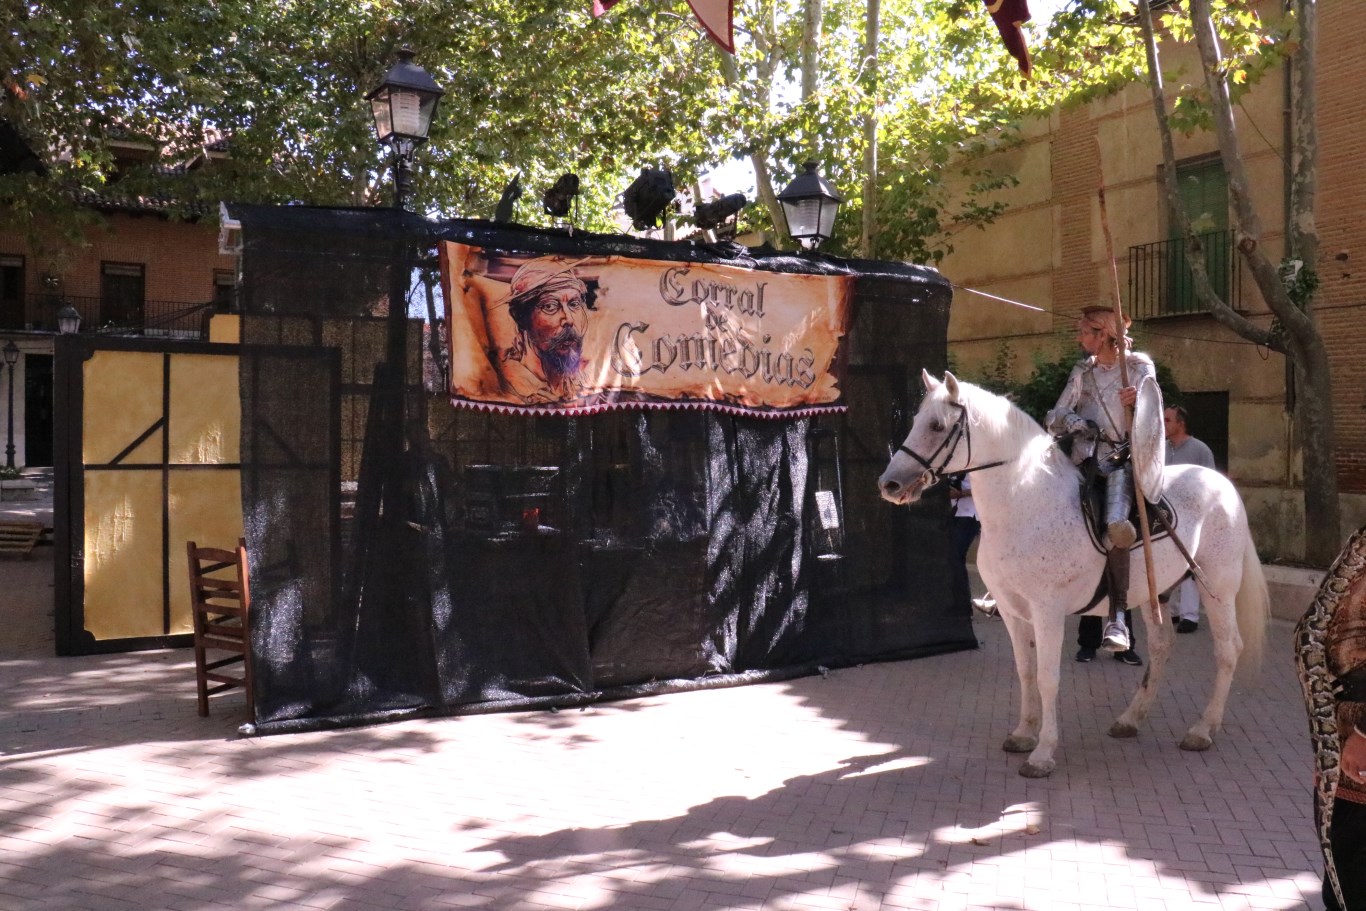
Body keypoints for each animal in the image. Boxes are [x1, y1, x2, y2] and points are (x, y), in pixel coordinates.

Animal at [874, 371, 1267, 775]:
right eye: (917, 421)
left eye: (937, 426)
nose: (889, 484)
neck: (1025, 504)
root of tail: (1223, 483)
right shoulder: (1013, 611)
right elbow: (1026, 671)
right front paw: (1023, 734)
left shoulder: (1047, 611)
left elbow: (1047, 678)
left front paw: (1043, 753)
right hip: (1155, 589)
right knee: (1161, 647)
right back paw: (1130, 718)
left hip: (1217, 586)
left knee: (1227, 648)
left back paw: (1202, 729)